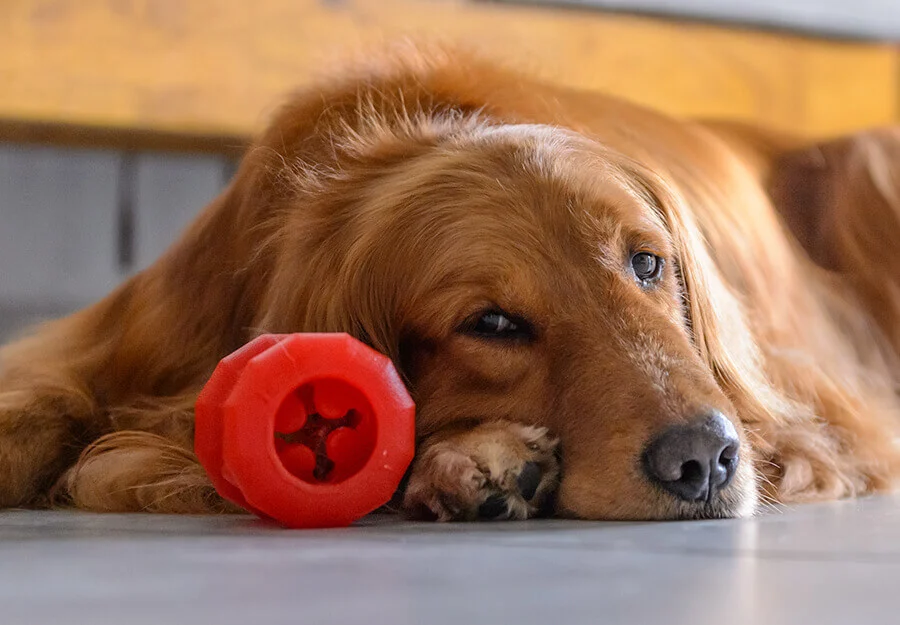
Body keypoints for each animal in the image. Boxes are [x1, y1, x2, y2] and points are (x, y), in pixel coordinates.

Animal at [1, 44, 900, 520]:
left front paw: (473, 458)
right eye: (492, 322)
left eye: (649, 262)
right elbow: (47, 410)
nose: (704, 461)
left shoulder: (817, 421)